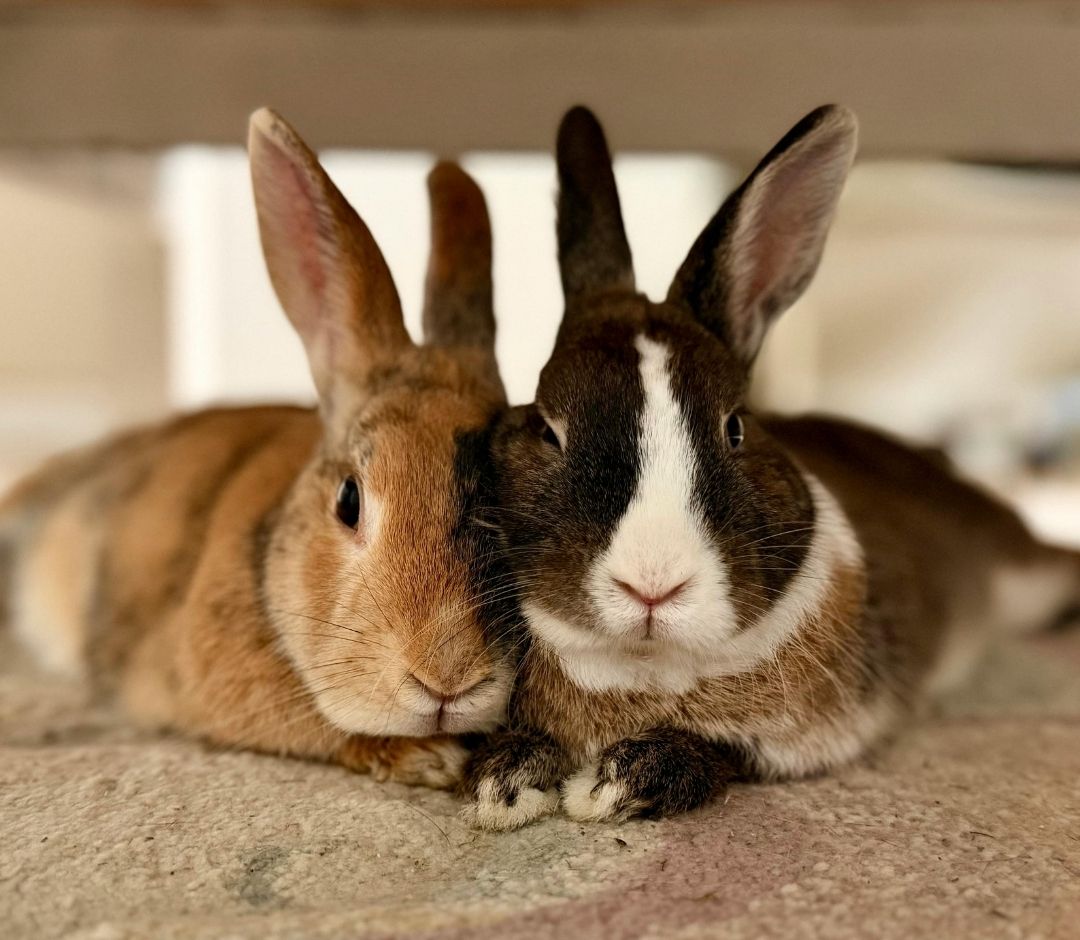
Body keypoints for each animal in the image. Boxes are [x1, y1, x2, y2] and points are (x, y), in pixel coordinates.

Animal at [461, 104, 1080, 829]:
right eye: (548, 428)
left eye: (735, 427)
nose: (652, 586)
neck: (647, 664)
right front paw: (503, 784)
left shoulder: (806, 736)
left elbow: (722, 753)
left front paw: (614, 785)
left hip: (1020, 569)